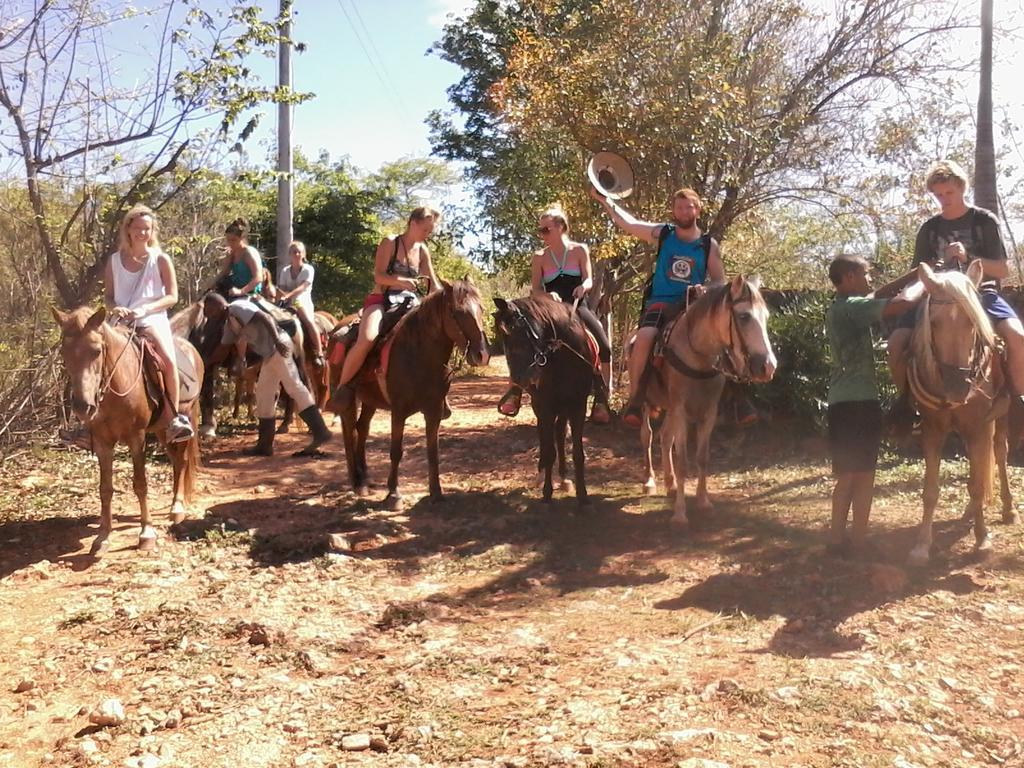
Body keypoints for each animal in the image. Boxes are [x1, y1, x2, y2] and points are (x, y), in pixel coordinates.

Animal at [52, 309, 203, 561]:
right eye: (64, 352)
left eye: (96, 350)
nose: (83, 407)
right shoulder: (102, 441)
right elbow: (105, 489)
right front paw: (102, 537)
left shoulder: (136, 437)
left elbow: (140, 484)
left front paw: (146, 534)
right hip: (162, 430)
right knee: (175, 462)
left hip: (186, 417)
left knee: (181, 461)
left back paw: (177, 508)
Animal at [327, 280, 487, 507]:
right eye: (457, 312)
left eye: (481, 309)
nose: (482, 354)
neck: (419, 354)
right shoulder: (399, 410)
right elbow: (396, 451)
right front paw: (394, 494)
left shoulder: (433, 410)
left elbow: (433, 450)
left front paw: (436, 492)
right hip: (349, 400)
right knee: (349, 431)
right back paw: (357, 483)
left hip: (370, 400)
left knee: (362, 428)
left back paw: (365, 478)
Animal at [493, 296, 598, 507]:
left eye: (517, 330)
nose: (521, 380)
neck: (564, 358)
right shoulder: (546, 406)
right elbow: (549, 451)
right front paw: (547, 492)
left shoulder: (578, 405)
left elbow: (578, 453)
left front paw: (582, 495)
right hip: (541, 407)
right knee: (545, 437)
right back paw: (543, 474)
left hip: (564, 407)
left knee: (559, 433)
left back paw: (565, 477)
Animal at [638, 276, 774, 528]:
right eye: (744, 316)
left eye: (766, 317)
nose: (767, 366)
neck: (697, 354)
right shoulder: (681, 411)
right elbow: (683, 461)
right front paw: (680, 514)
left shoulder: (708, 412)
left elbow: (702, 458)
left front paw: (703, 502)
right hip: (648, 403)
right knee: (647, 435)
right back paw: (649, 480)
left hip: (670, 408)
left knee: (665, 437)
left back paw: (670, 483)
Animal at [905, 262, 1015, 569]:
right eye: (933, 322)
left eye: (973, 322)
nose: (957, 387)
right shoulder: (932, 429)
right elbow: (930, 491)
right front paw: (921, 546)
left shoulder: (980, 427)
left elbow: (978, 485)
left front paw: (982, 540)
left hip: (999, 420)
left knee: (1000, 454)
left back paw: (1008, 509)